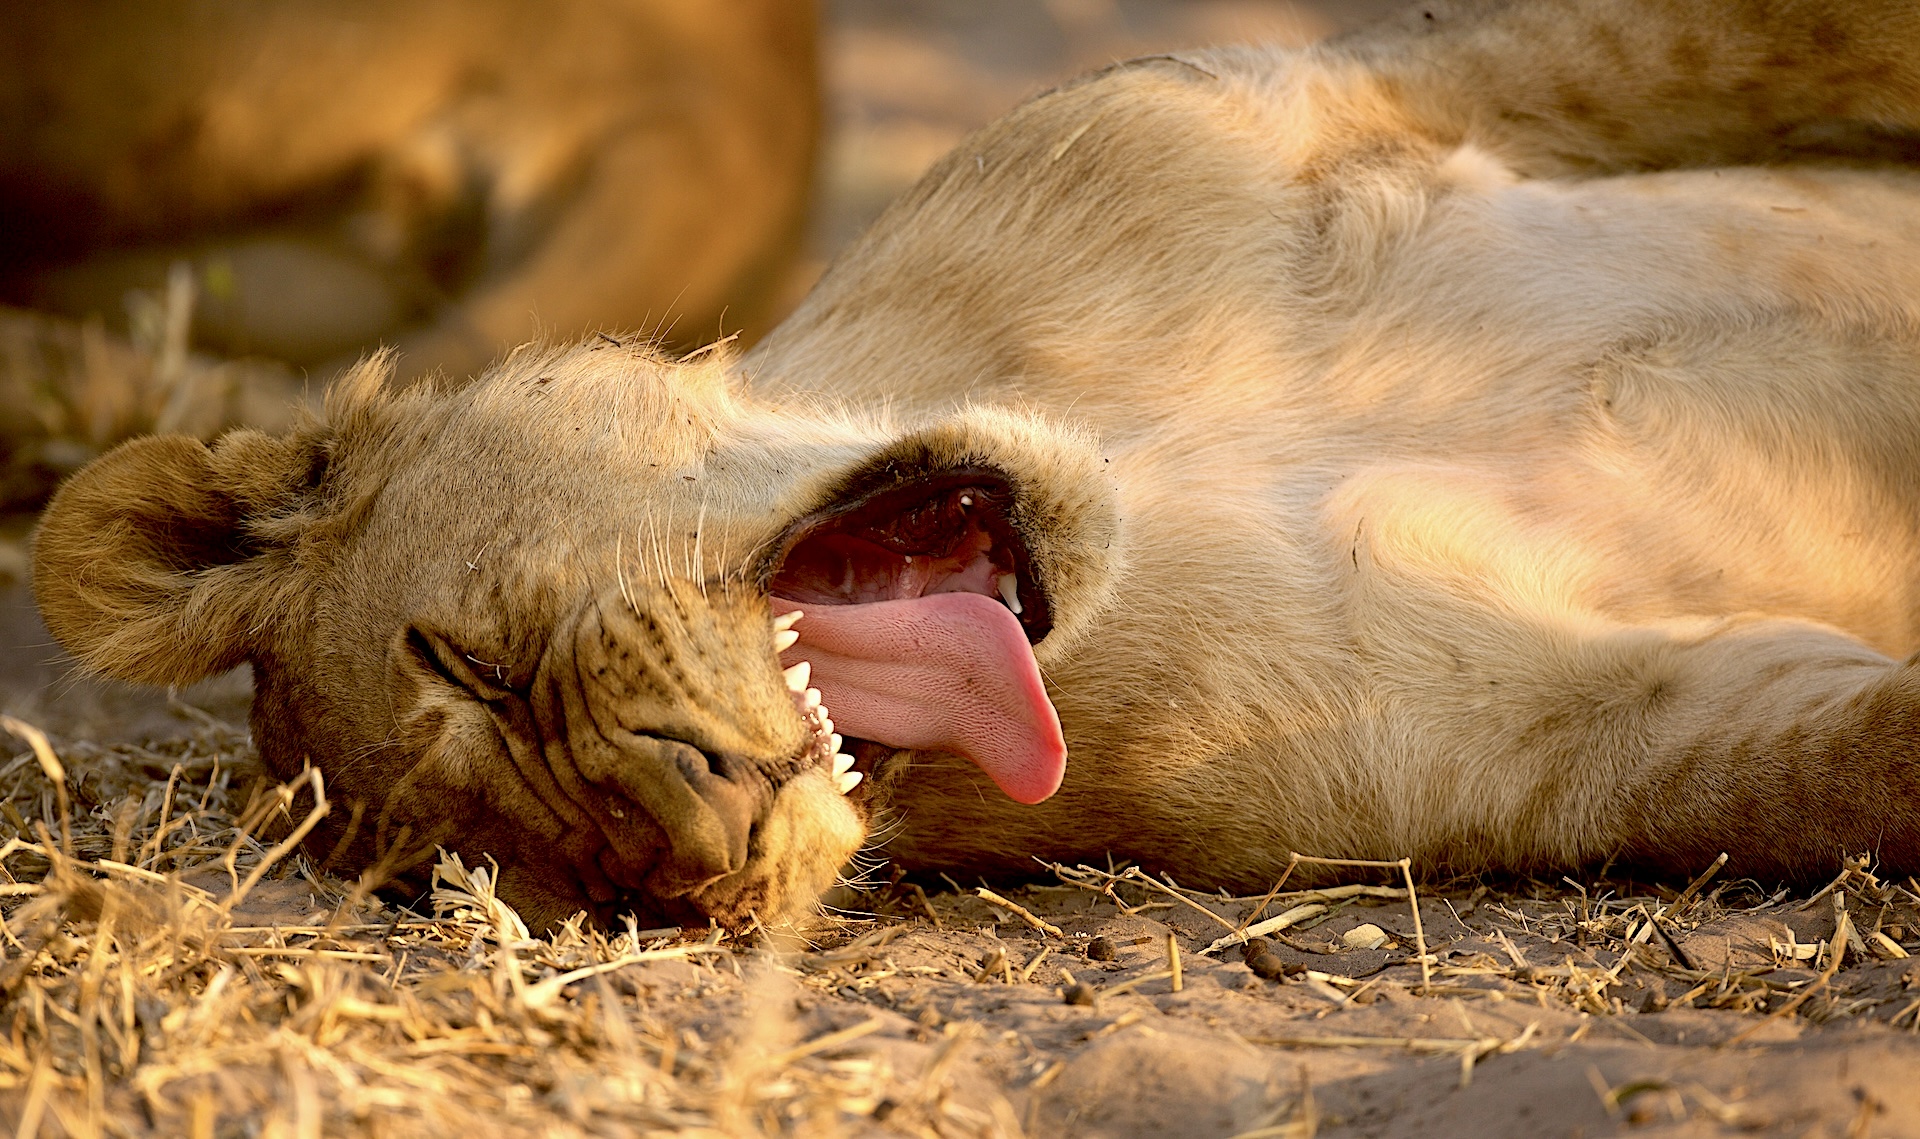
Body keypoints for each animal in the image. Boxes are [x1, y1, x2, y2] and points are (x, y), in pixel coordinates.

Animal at [29, 0, 1920, 931]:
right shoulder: (1601, 740)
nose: (713, 844)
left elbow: (1784, 36)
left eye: (467, 660)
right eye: (599, 895)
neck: (1162, 452)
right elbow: (1850, 763)